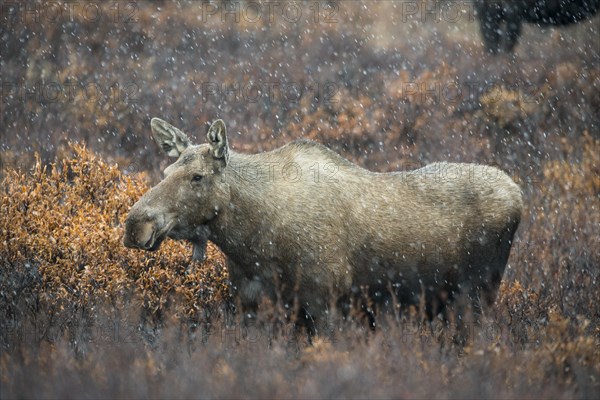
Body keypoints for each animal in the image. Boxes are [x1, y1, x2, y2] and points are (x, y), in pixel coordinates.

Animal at [124, 117, 524, 332]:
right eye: (166, 171)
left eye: (197, 176)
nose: (135, 224)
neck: (249, 242)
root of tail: (519, 194)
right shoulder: (250, 302)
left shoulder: (326, 299)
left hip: (477, 294)